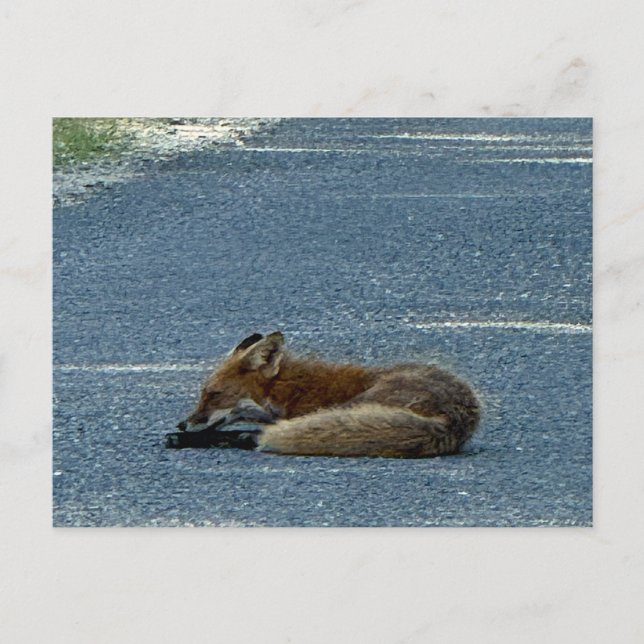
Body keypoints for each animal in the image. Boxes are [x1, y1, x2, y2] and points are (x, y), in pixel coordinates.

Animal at [165, 331, 480, 458]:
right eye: (203, 394)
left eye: (213, 394)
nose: (183, 423)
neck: (289, 391)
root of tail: (455, 417)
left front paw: (182, 437)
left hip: (353, 409)